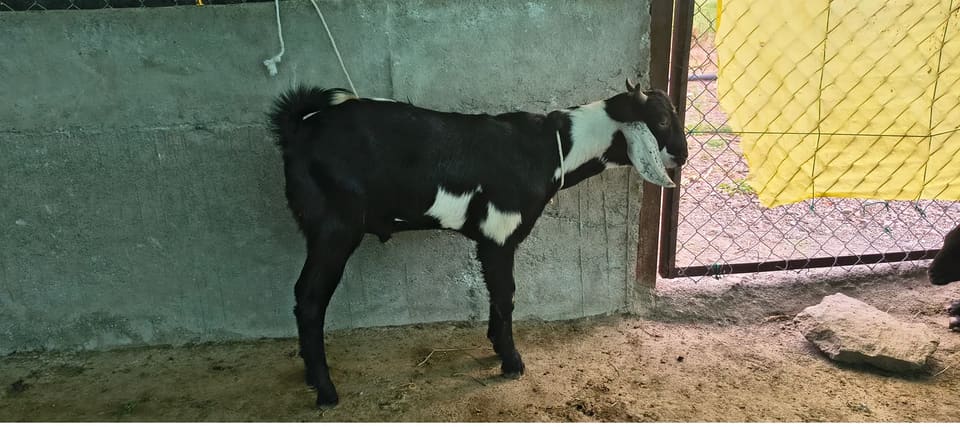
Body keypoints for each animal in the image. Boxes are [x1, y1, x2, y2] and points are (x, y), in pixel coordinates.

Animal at [269, 79, 688, 408]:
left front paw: (495, 346)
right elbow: (506, 295)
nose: (682, 155)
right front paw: (511, 361)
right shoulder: (500, 234)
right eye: (661, 120)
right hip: (334, 229)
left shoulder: (491, 239)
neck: (553, 147)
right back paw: (326, 391)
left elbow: (494, 293)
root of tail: (298, 131)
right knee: (309, 299)